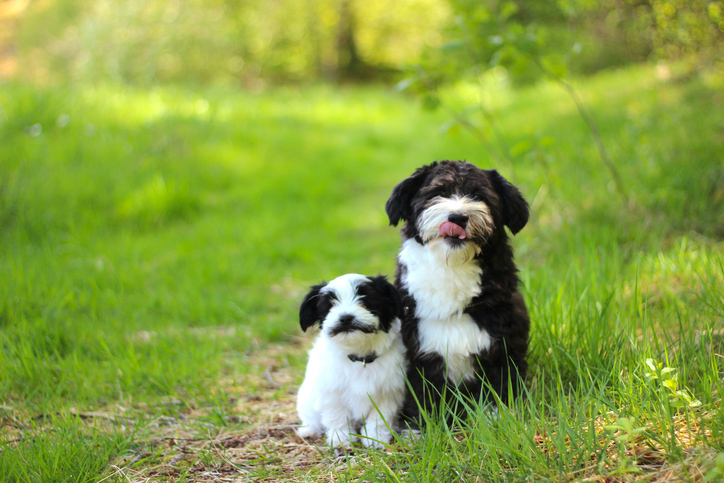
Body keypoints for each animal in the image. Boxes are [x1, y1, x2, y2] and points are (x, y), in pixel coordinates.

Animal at [296, 276, 408, 450]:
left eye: (365, 301)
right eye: (331, 305)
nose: (346, 318)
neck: (360, 358)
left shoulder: (388, 391)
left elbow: (380, 416)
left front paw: (375, 438)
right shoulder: (332, 391)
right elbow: (337, 414)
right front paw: (341, 438)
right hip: (306, 397)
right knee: (310, 416)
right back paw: (309, 430)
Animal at [384, 162, 532, 424]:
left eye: (478, 196)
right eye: (437, 193)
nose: (457, 217)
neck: (452, 266)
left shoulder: (504, 344)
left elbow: (501, 385)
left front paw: (499, 419)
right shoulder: (419, 350)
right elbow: (423, 394)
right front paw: (422, 426)